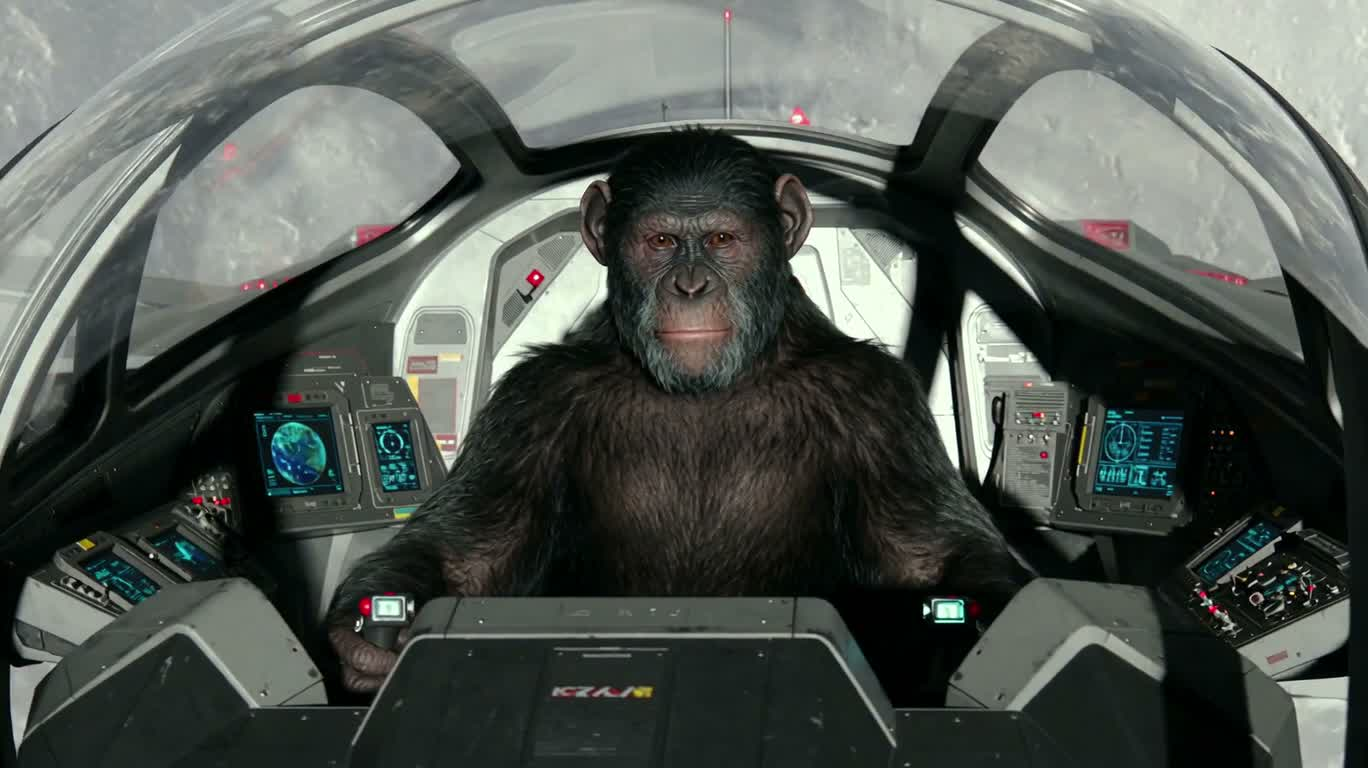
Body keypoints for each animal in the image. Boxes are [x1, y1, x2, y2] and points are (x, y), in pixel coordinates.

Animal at [326, 127, 1031, 693]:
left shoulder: (880, 408)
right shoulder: (529, 406)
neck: (707, 388)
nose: (691, 287)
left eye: (722, 238)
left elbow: (926, 554)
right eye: (661, 240)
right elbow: (473, 552)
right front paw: (371, 632)